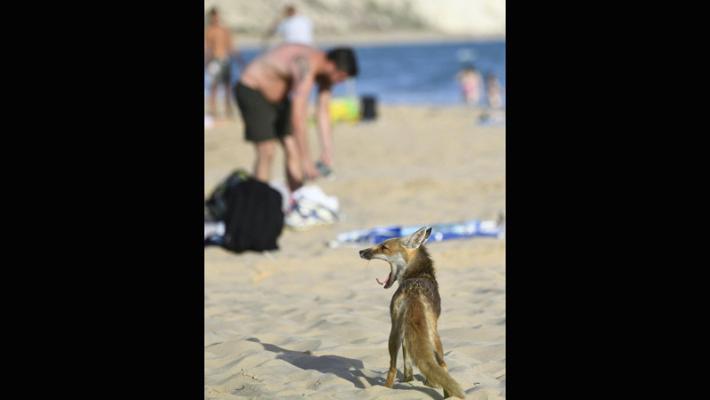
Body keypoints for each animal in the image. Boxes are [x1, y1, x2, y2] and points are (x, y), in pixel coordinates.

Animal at [359, 226, 465, 399]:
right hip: (431, 335)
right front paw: (428, 383)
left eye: (384, 247)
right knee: (441, 365)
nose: (361, 251)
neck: (417, 275)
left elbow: (408, 361)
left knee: (395, 368)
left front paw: (412, 380)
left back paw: (388, 389)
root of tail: (414, 291)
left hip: (396, 332)